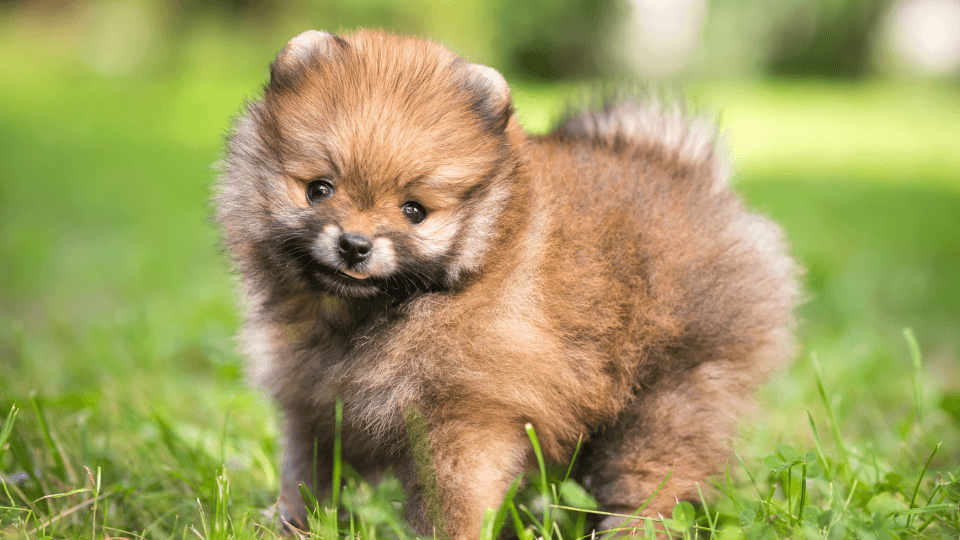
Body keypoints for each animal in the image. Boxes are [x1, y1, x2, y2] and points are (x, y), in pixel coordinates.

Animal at [216, 29, 804, 540]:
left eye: (414, 211)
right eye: (319, 189)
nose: (355, 244)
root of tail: (690, 173)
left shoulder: (467, 417)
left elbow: (454, 503)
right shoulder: (314, 407)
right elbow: (306, 480)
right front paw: (287, 526)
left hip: (675, 388)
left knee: (656, 478)